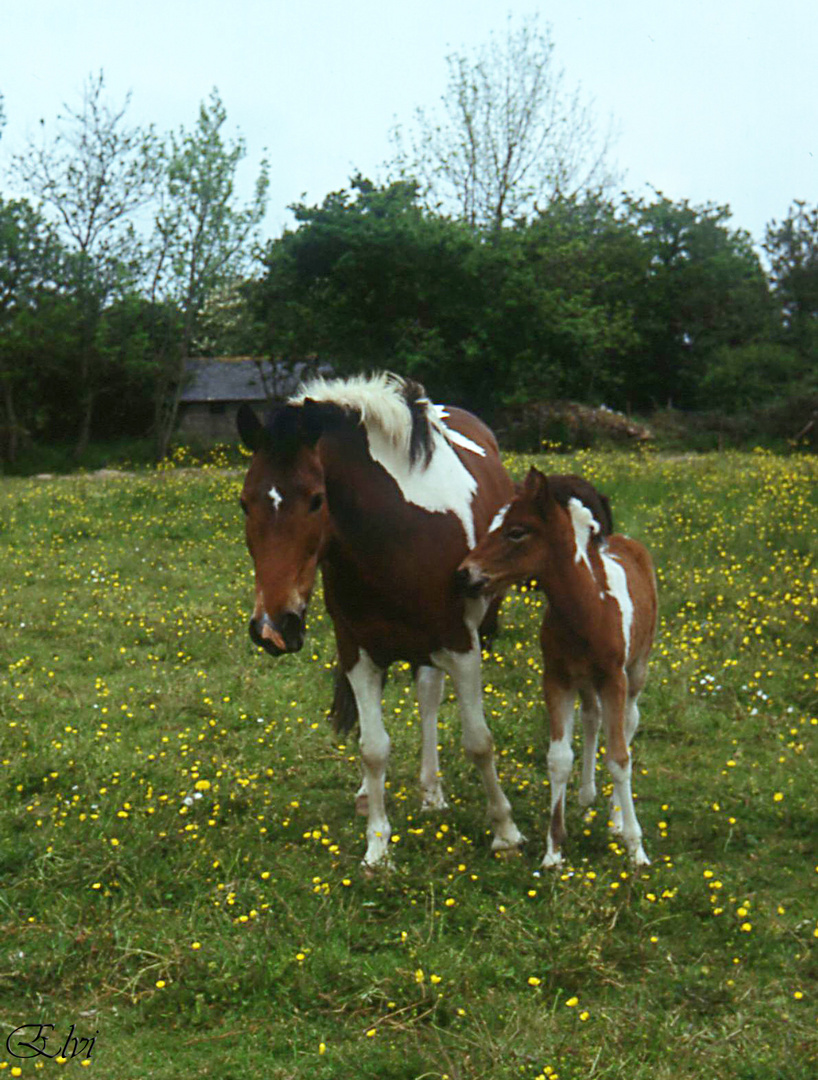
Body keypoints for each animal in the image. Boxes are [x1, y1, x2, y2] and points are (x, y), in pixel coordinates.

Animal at [460, 466, 656, 868]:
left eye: (516, 531)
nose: (464, 574)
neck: (587, 609)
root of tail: (628, 542)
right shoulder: (557, 678)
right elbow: (558, 757)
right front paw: (553, 849)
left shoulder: (613, 678)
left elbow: (619, 757)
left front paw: (635, 847)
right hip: (585, 680)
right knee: (592, 717)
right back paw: (586, 796)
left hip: (636, 670)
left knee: (629, 723)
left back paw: (616, 816)